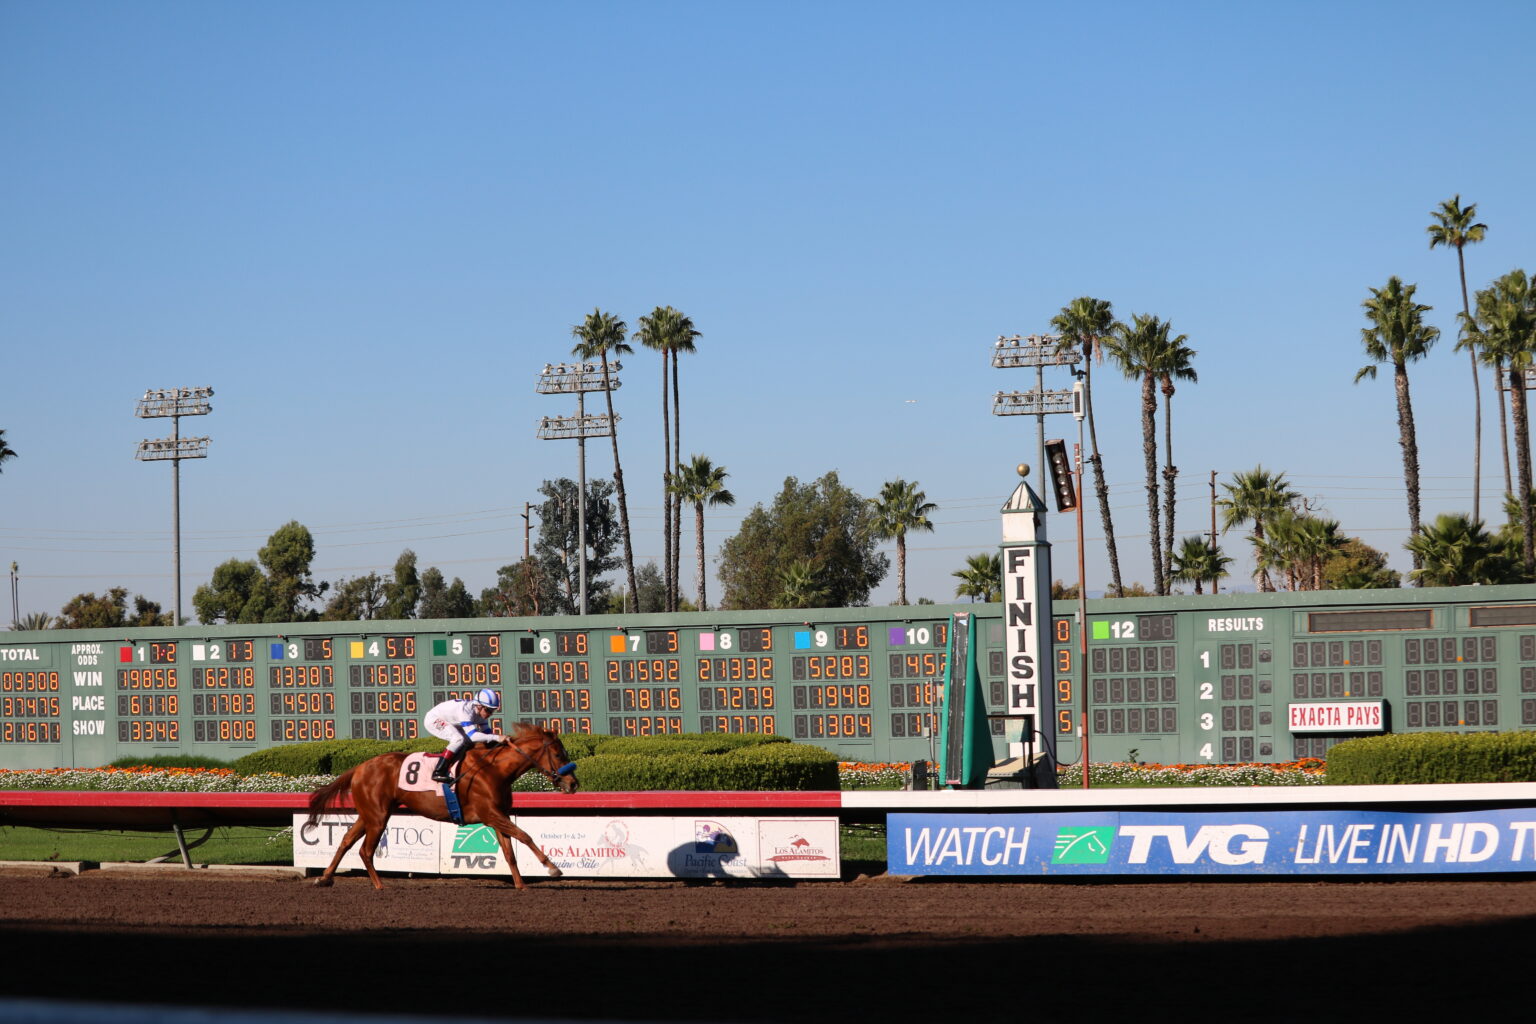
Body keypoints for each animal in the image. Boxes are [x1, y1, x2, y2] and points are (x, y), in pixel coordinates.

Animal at [305, 721, 580, 890]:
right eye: (559, 754)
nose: (573, 783)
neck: (495, 770)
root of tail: (360, 767)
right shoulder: (490, 814)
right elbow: (525, 836)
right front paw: (552, 868)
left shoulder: (498, 815)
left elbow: (510, 852)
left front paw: (521, 885)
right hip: (378, 816)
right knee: (365, 850)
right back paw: (379, 885)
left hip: (369, 814)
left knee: (346, 841)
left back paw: (325, 878)